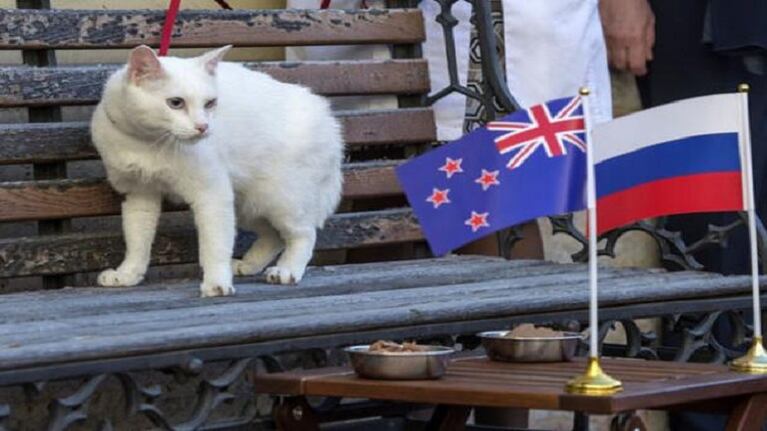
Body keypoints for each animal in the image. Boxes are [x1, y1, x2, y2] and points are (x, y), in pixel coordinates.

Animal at [90, 46, 344, 296]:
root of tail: (329, 120)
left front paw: (217, 282)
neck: (148, 143)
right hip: (247, 205)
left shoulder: (211, 194)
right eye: (175, 103)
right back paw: (247, 265)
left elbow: (214, 246)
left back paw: (286, 270)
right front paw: (127, 274)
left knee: (304, 234)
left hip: (281, 200)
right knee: (274, 237)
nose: (203, 127)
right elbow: (137, 241)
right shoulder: (139, 195)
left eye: (210, 103)